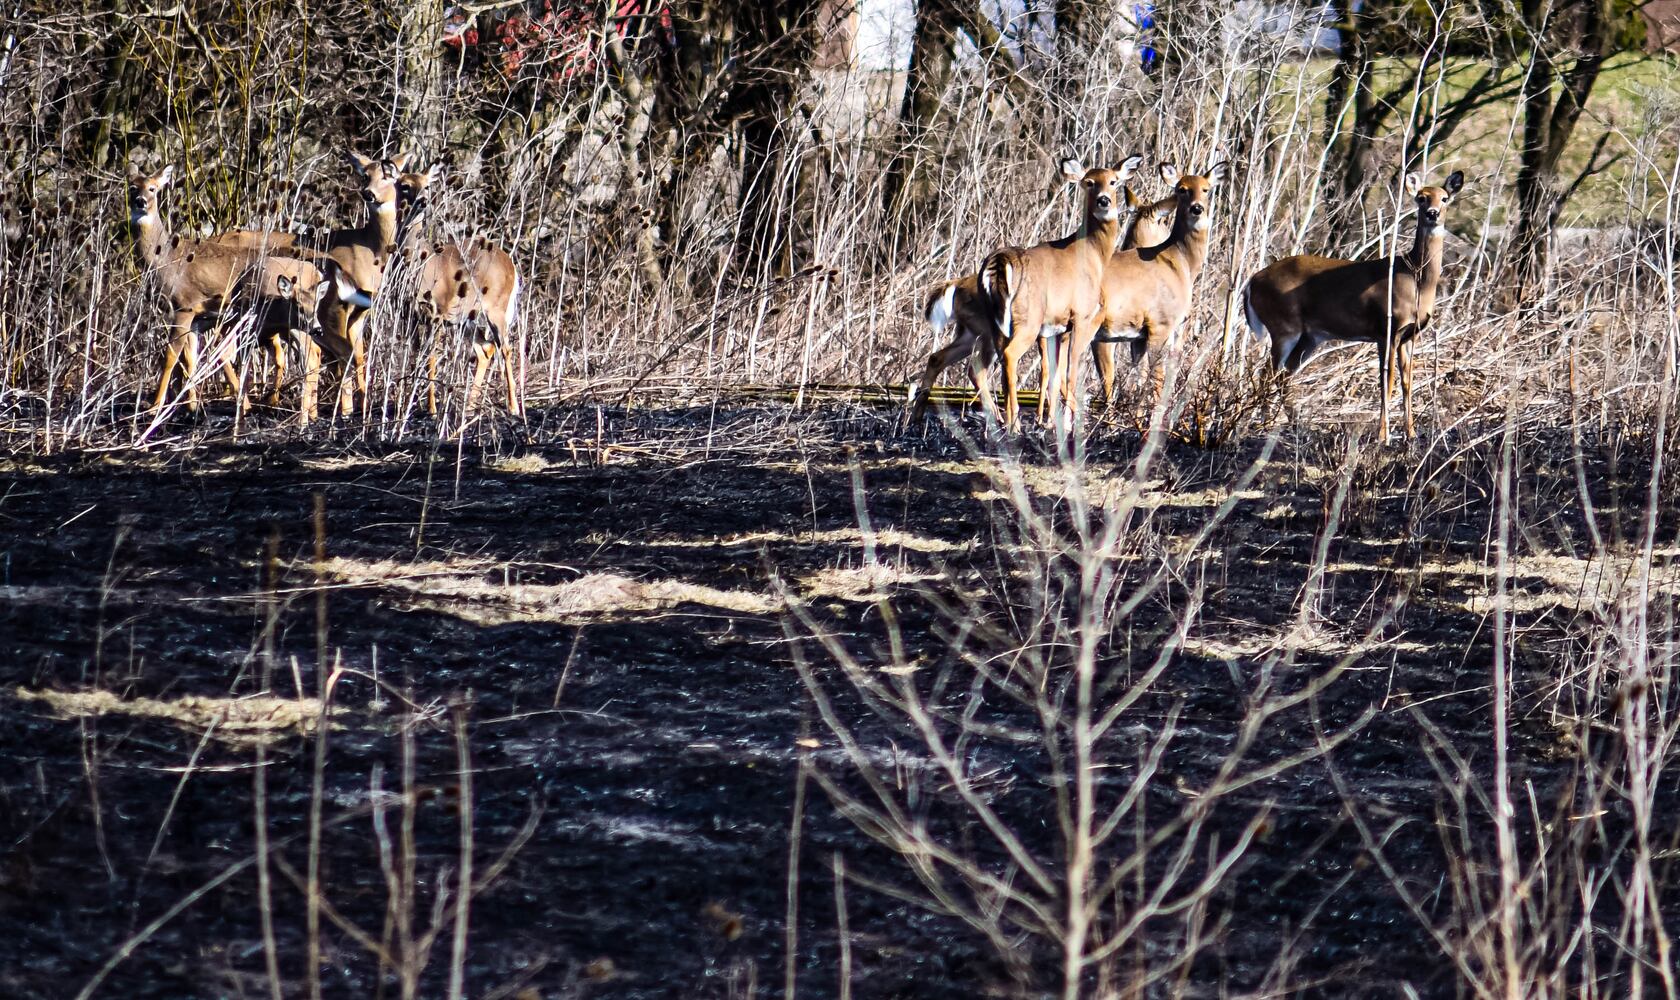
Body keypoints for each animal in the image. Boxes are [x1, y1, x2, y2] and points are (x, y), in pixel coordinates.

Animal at [127, 168, 324, 418]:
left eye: (153, 188)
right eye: (132, 186)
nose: (140, 201)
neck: (167, 260)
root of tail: (315, 271)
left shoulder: (183, 305)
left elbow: (171, 355)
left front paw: (154, 407)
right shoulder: (197, 317)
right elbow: (191, 358)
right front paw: (192, 407)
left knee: (310, 355)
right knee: (312, 352)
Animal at [389, 162, 520, 420]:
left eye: (427, 184)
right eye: (405, 185)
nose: (423, 201)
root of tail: (510, 265)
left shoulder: (438, 312)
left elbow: (430, 357)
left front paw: (430, 408)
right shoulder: (409, 316)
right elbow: (414, 356)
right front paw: (408, 404)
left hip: (496, 309)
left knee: (506, 348)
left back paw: (513, 407)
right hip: (467, 319)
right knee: (484, 350)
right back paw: (469, 406)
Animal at [974, 155, 1142, 430]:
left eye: (1113, 181)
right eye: (1089, 182)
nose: (1104, 200)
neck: (1093, 253)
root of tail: (999, 263)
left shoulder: (1060, 327)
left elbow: (1055, 372)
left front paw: (1053, 421)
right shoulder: (1082, 316)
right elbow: (1070, 370)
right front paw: (1070, 421)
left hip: (996, 321)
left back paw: (1005, 422)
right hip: (1028, 319)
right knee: (1009, 357)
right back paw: (1014, 422)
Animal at [1068, 161, 1229, 421]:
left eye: (1206, 189)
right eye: (1182, 189)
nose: (1197, 208)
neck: (1178, 261)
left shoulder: (1139, 335)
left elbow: (1139, 378)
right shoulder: (1160, 324)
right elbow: (1155, 380)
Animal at [1243, 170, 1464, 440]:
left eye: (1444, 198)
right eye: (1421, 198)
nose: (1432, 213)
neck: (1417, 280)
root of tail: (1252, 281)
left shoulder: (1409, 334)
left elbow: (1407, 382)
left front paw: (1410, 433)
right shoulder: (1386, 329)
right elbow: (1387, 381)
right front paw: (1383, 436)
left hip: (1309, 336)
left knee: (1282, 373)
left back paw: (1295, 424)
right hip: (1284, 326)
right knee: (1268, 372)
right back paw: (1267, 423)